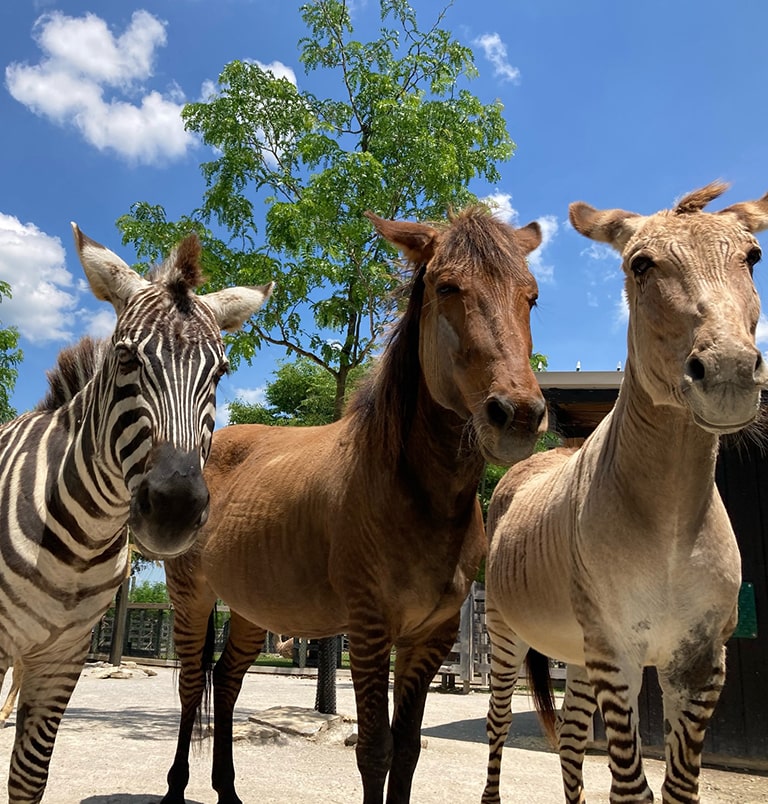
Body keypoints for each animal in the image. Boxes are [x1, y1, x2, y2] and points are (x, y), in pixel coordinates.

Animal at [0, 223, 272, 800]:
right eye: (126, 359)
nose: (175, 509)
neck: (78, 545)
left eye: (221, 372)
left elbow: (29, 777)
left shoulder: (64, 655)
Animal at [160, 206, 544, 804]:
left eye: (531, 297)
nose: (519, 414)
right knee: (190, 684)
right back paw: (177, 787)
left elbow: (407, 752)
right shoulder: (368, 630)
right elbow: (375, 751)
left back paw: (228, 790)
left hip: (249, 608)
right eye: (447, 287)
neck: (417, 495)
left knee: (225, 681)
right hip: (193, 596)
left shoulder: (428, 639)